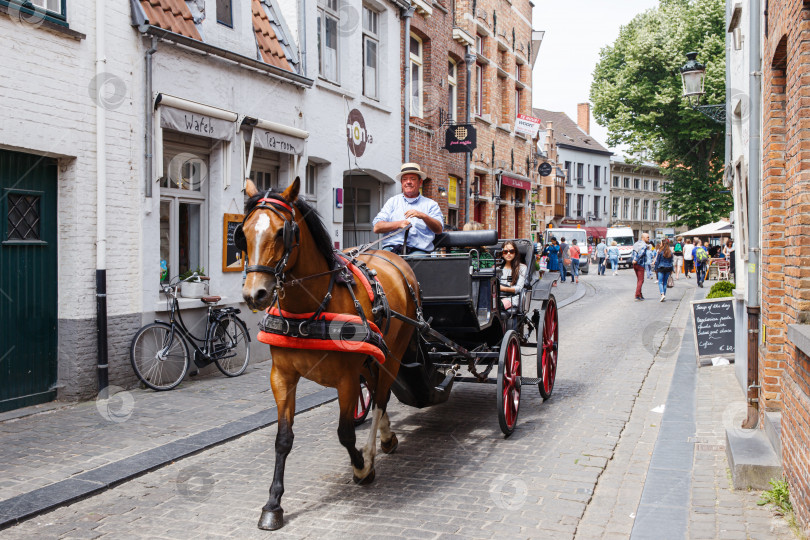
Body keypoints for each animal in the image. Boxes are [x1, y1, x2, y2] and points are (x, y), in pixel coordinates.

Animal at [238, 178, 416, 532]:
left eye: (282, 233)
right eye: (245, 232)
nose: (255, 294)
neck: (310, 308)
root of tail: (395, 258)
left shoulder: (346, 379)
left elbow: (345, 433)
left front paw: (362, 467)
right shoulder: (282, 376)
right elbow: (283, 438)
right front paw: (273, 505)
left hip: (394, 353)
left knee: (381, 397)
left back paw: (375, 449)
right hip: (371, 358)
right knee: (377, 393)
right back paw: (387, 438)